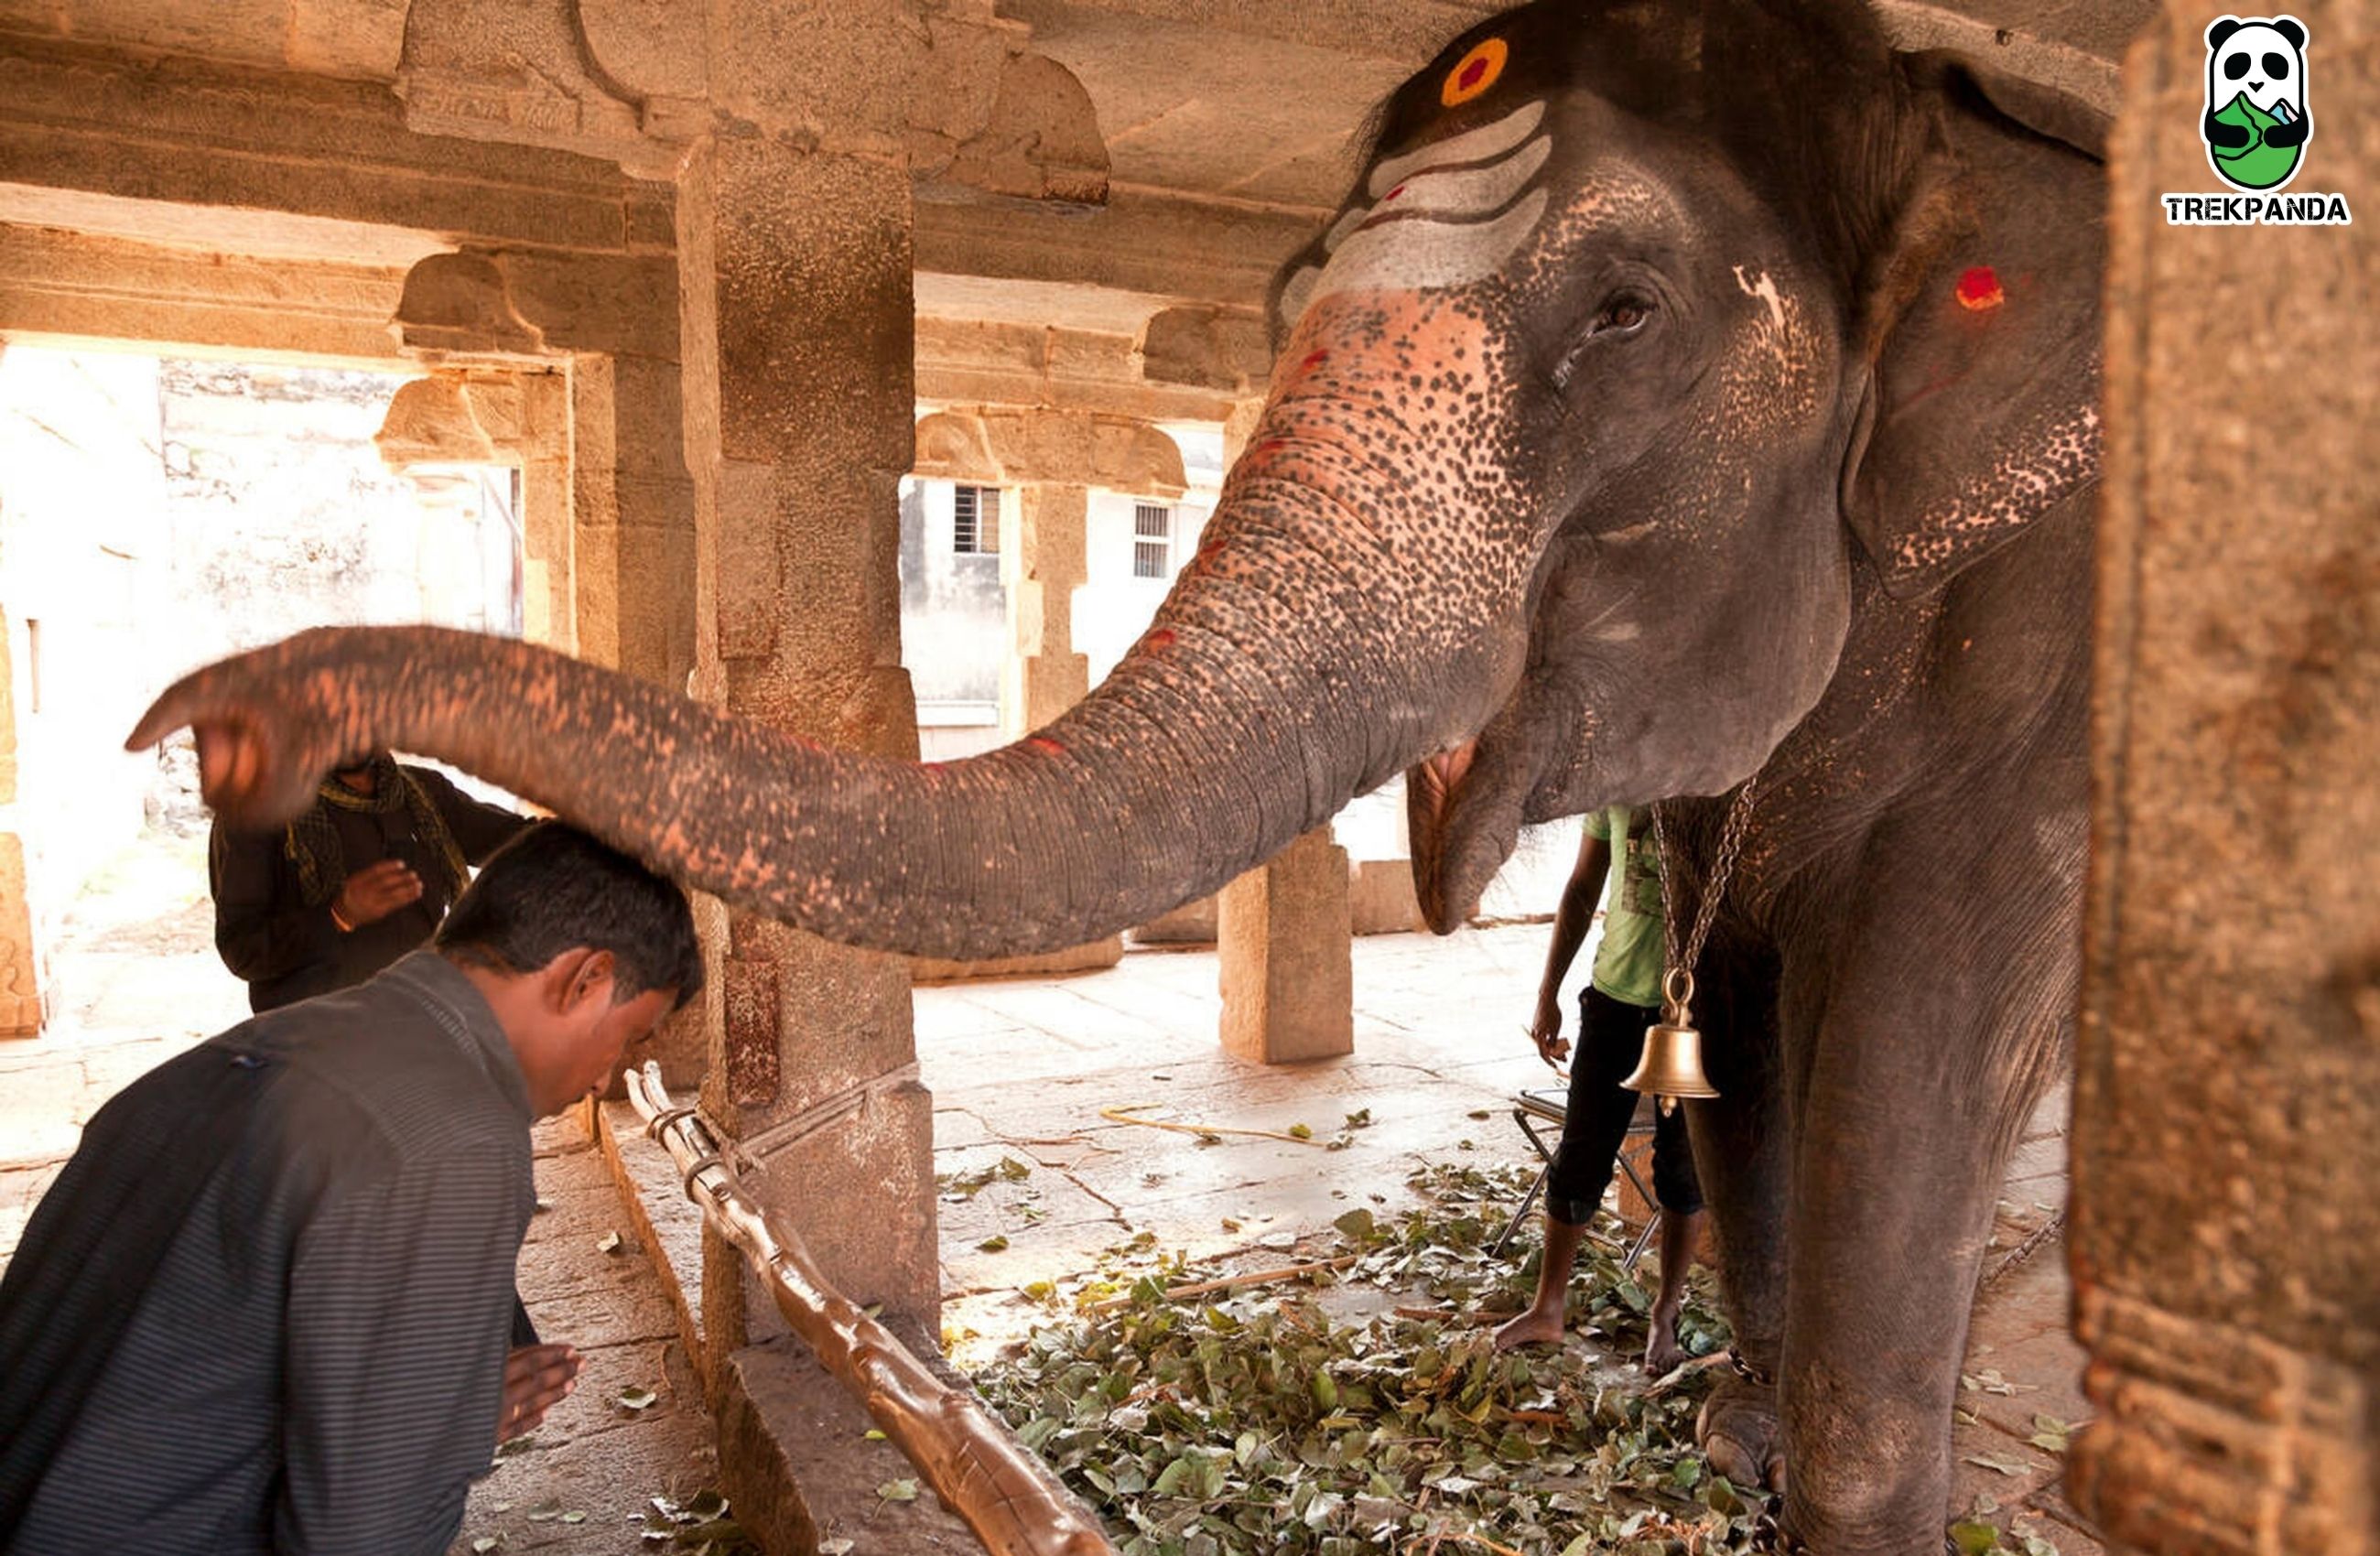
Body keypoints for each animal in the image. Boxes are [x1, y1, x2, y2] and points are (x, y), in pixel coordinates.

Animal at [129, 1, 2109, 1550]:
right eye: (1292, 291)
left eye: (1627, 311)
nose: (217, 728)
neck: (1943, 124)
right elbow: (1747, 1017)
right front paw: (1725, 1444)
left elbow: (1915, 1022)